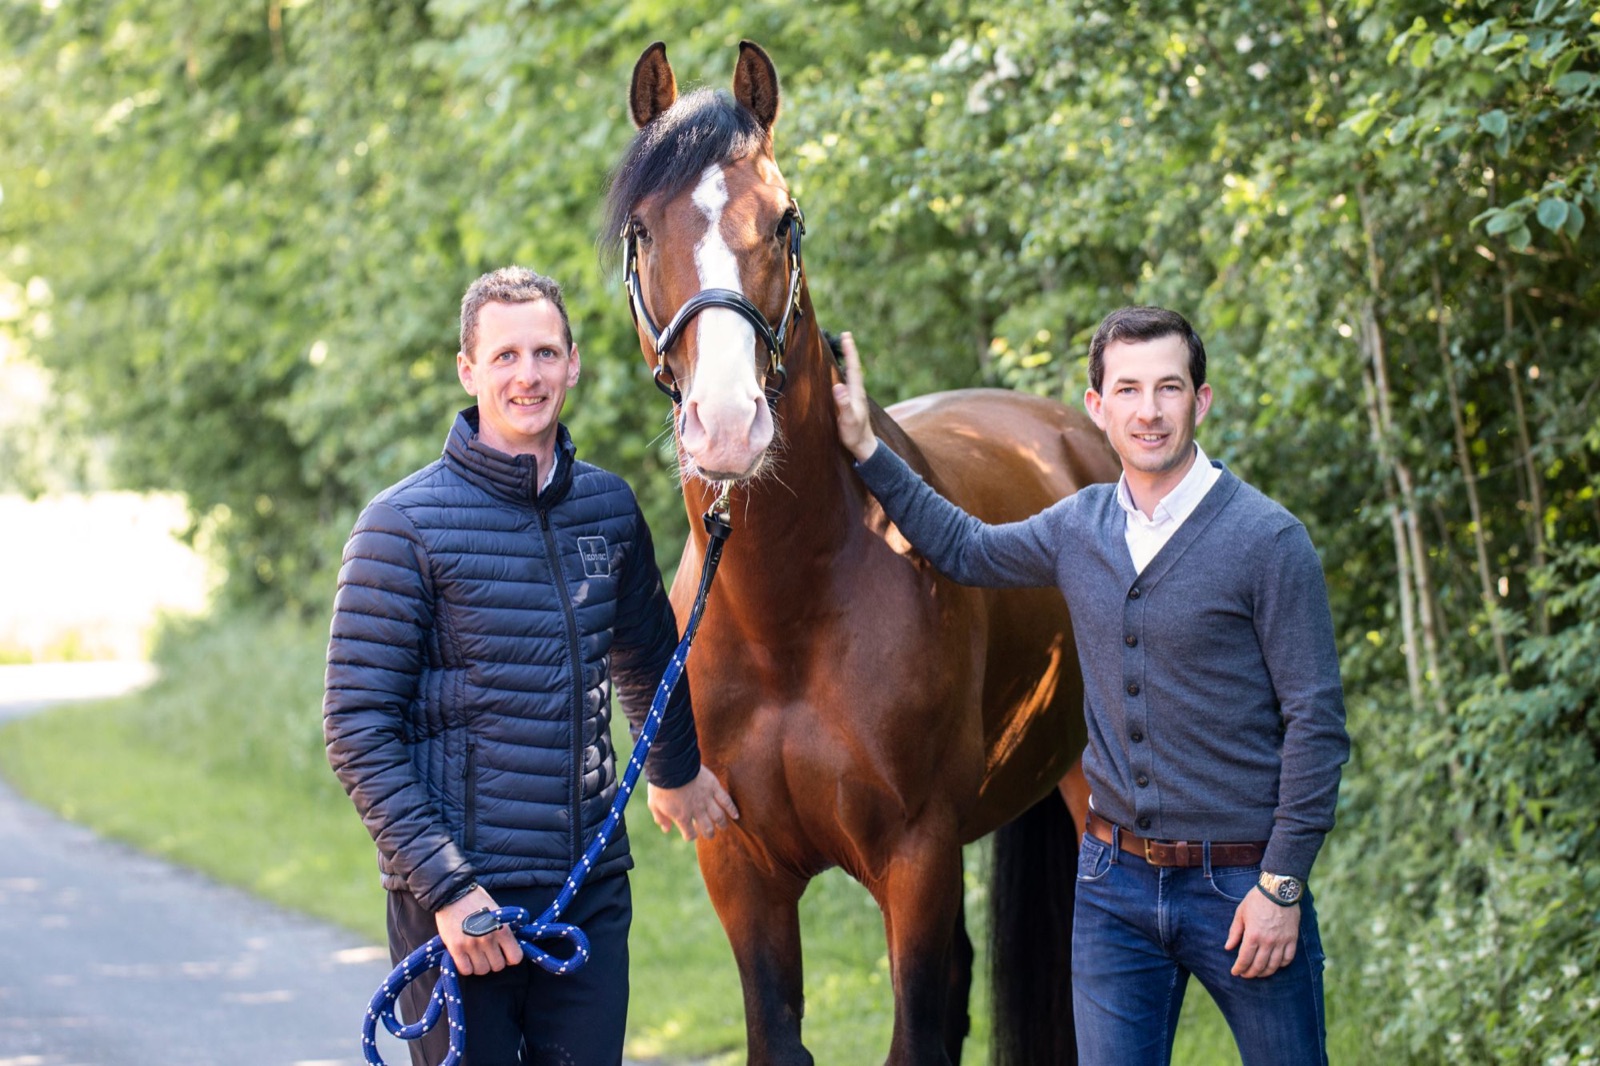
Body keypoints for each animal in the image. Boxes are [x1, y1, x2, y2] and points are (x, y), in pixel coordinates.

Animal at [603, 40, 1120, 1066]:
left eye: (786, 220)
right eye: (642, 229)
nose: (727, 425)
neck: (788, 617)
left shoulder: (917, 857)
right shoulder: (739, 869)